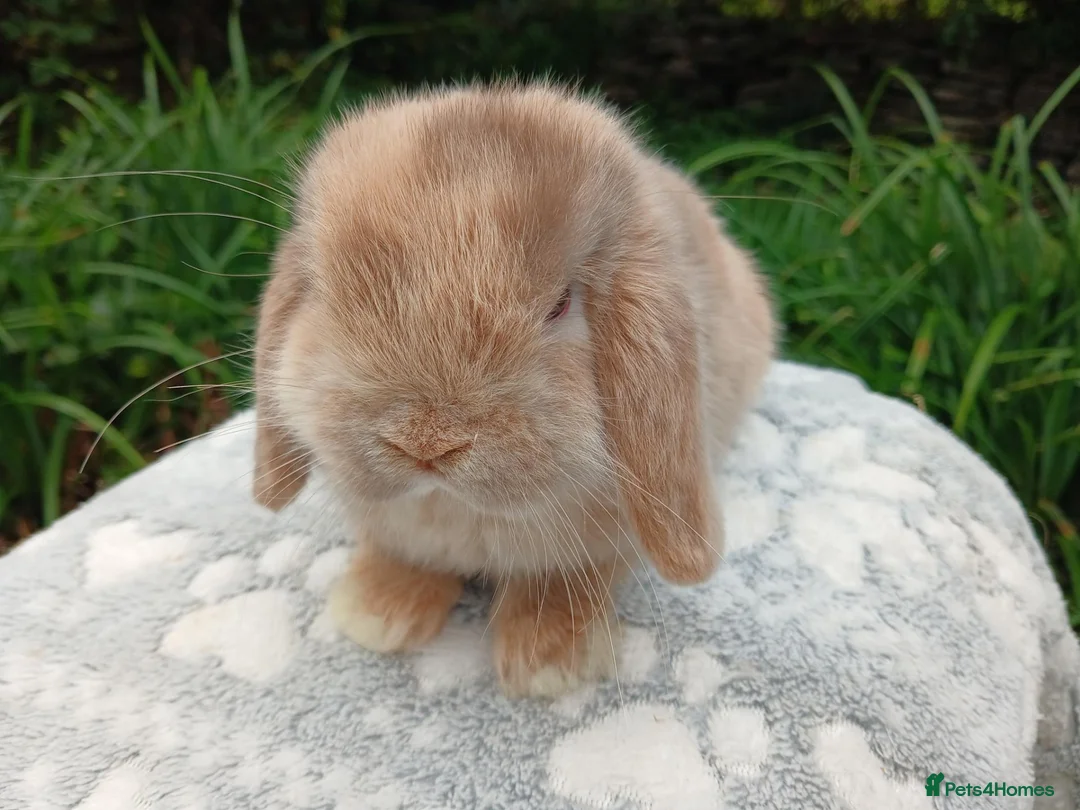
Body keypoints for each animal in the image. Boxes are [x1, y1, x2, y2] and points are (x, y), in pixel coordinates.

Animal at [251, 79, 777, 698]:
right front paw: (376, 614)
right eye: (325, 289)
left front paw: (550, 663)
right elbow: (405, 557)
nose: (426, 442)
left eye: (561, 305)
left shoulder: (598, 546)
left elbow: (562, 582)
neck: (453, 508)